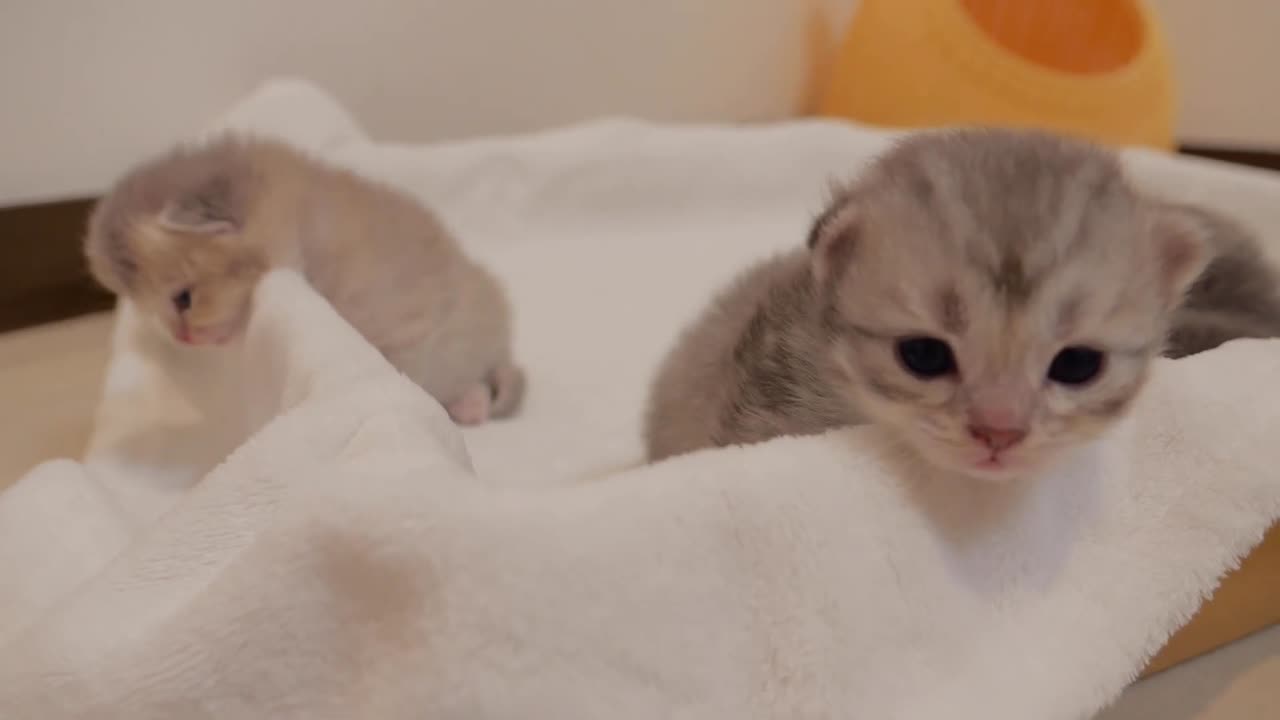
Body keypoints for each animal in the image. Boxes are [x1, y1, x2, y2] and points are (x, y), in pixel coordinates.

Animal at [87, 133, 522, 420]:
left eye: (183, 299)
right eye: (149, 309)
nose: (183, 339)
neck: (304, 234)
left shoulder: (407, 322)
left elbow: (402, 369)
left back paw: (471, 405)